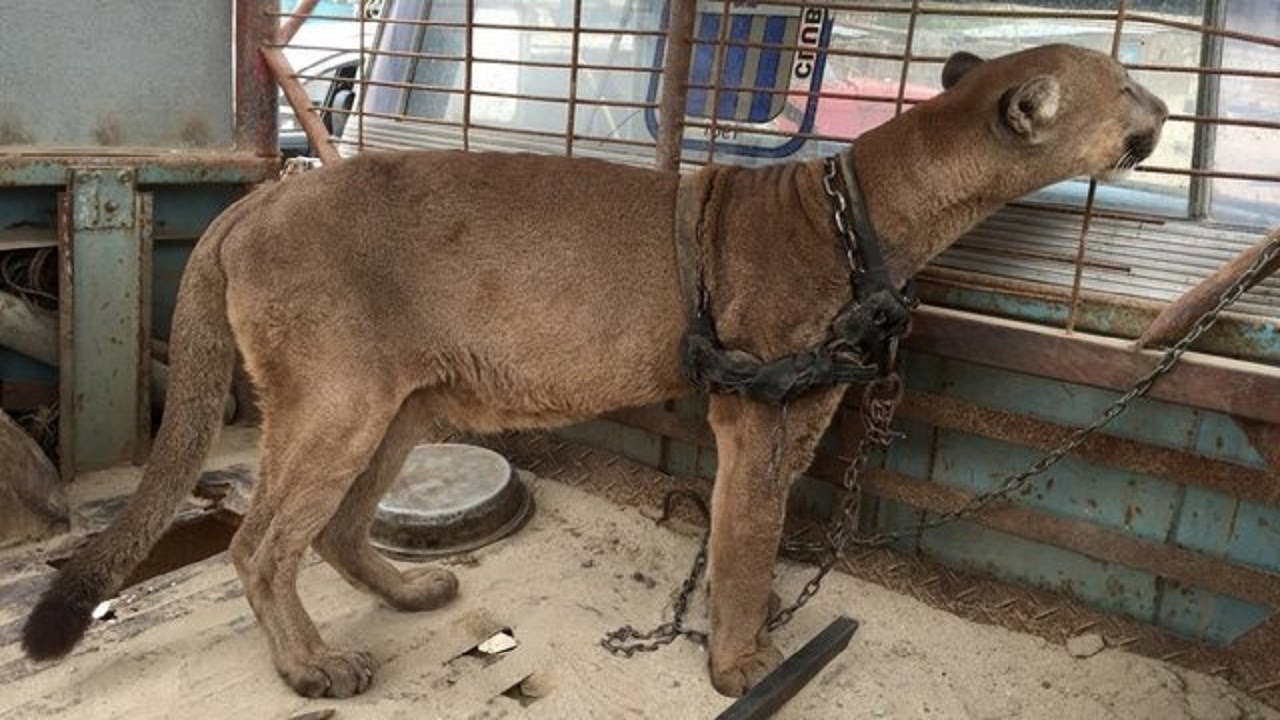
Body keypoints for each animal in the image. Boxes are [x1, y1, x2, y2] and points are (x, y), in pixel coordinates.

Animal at [24, 44, 1167, 699]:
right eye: (1127, 85)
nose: (1160, 113)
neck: (870, 209)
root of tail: (259, 197)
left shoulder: (796, 418)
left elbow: (754, 533)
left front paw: (750, 627)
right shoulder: (756, 419)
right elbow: (742, 543)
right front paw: (740, 665)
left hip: (402, 404)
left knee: (340, 530)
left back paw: (410, 592)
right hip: (338, 403)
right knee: (261, 541)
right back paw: (314, 666)